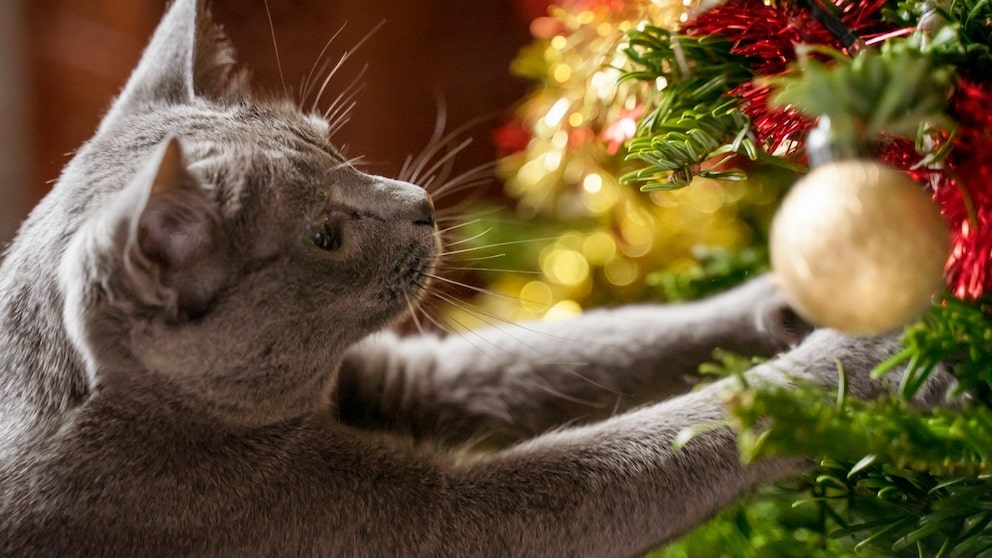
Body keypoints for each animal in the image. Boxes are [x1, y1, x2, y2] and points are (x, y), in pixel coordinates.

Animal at [0, 1, 948, 558]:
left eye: (334, 147)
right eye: (325, 236)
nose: (417, 204)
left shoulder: (396, 374)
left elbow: (586, 348)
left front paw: (788, 296)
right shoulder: (370, 525)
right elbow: (633, 456)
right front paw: (871, 355)